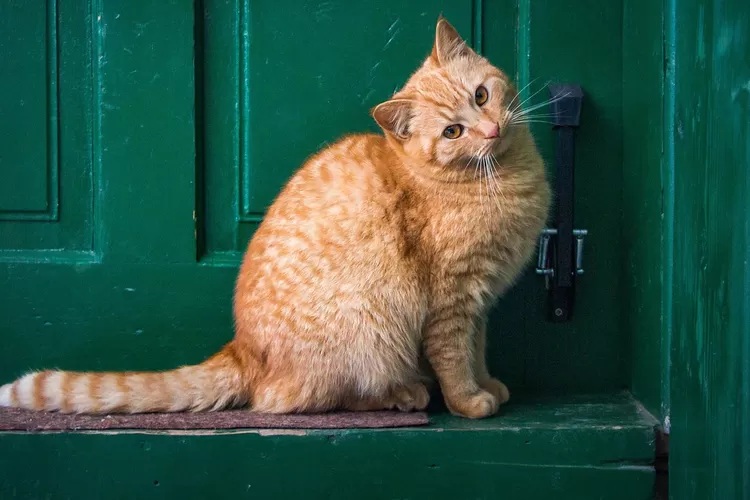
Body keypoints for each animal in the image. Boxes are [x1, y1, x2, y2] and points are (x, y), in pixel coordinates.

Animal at [0, 18, 552, 418]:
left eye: (482, 95)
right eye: (453, 132)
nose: (490, 129)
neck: (502, 177)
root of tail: (242, 348)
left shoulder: (479, 303)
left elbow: (477, 351)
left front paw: (489, 384)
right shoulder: (451, 301)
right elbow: (455, 359)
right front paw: (469, 402)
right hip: (370, 331)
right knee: (293, 400)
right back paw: (402, 395)